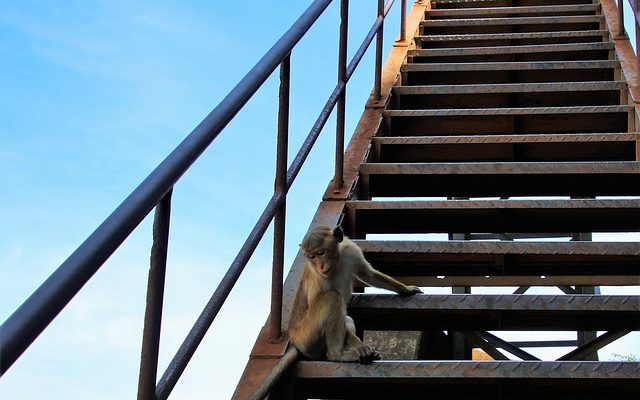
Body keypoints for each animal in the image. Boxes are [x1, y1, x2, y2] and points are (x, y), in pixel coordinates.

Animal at [288, 225, 420, 362]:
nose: (320, 266)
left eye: (320, 253)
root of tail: (293, 337)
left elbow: (368, 274)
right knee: (332, 297)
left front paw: (406, 288)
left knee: (347, 318)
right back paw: (338, 355)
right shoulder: (318, 276)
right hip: (306, 337)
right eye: (312, 257)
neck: (337, 261)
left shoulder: (351, 251)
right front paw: (361, 346)